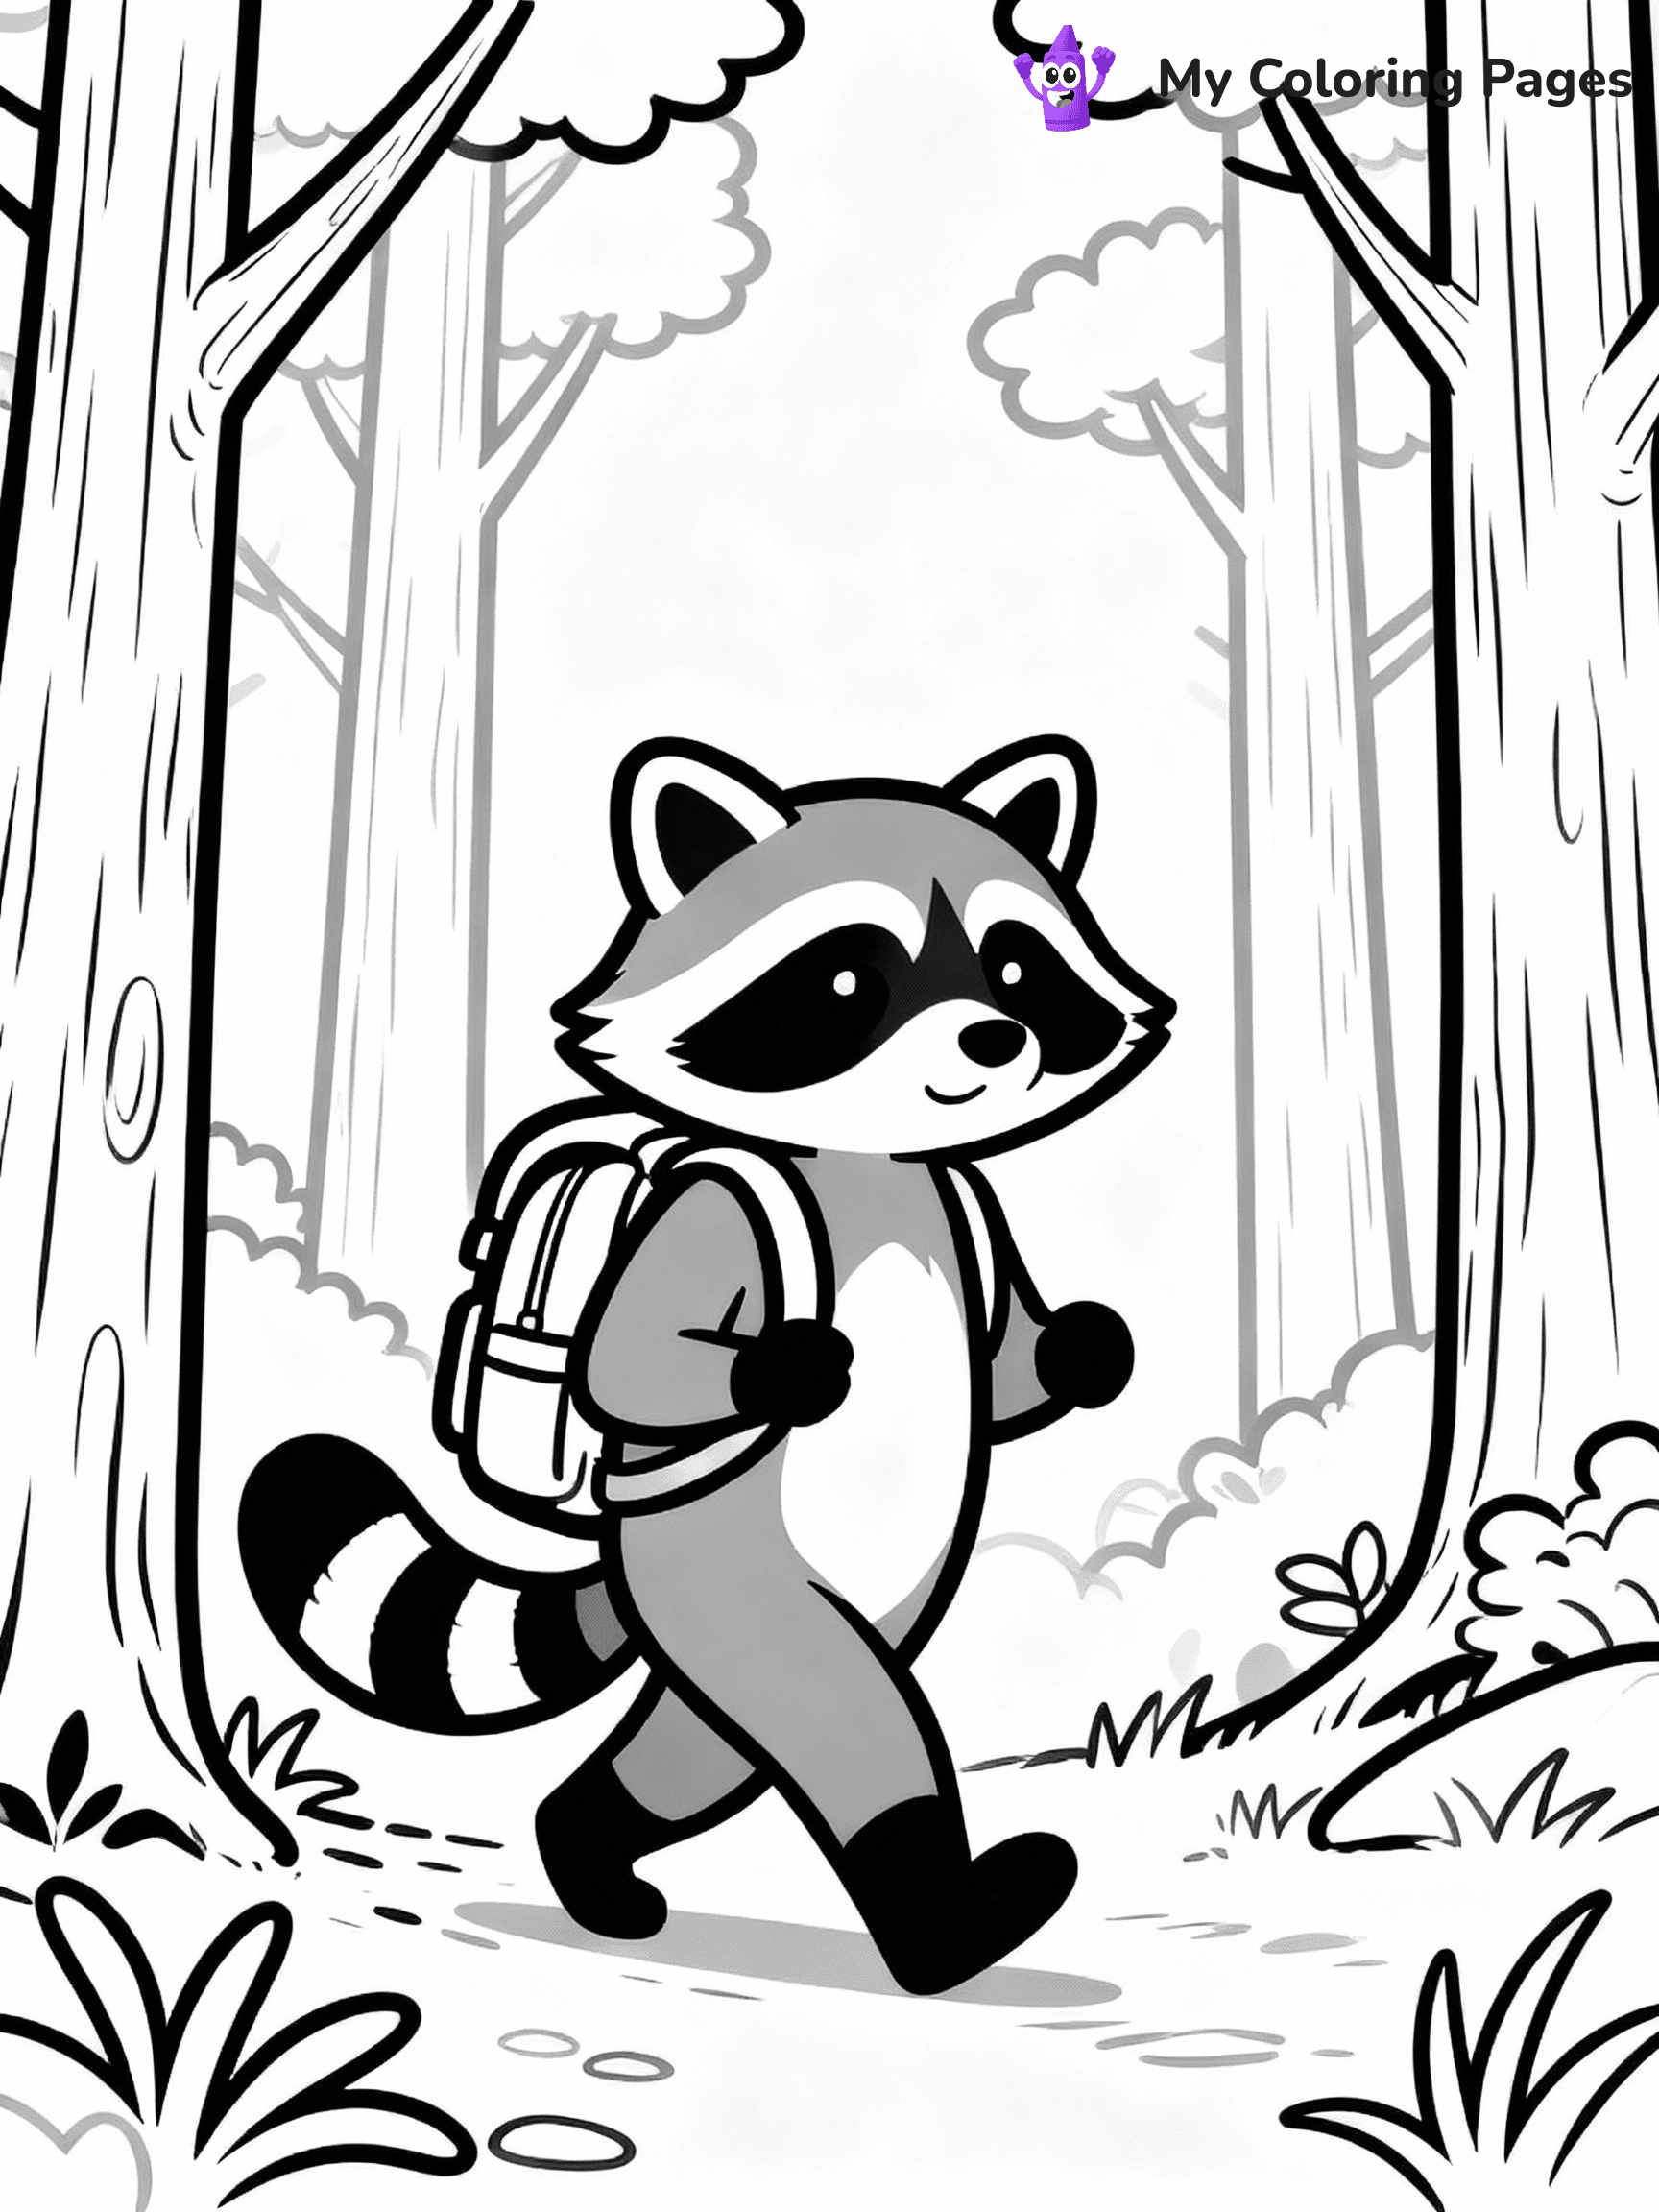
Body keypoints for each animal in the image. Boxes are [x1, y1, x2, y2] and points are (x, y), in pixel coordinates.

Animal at [242, 735, 1173, 1995]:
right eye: (850, 983)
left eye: (1019, 971)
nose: (992, 1040)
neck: (868, 1162)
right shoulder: (721, 1211)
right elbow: (627, 1365)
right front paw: (784, 1370)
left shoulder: (963, 1205)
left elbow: (1013, 1370)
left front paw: (1078, 1348)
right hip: (727, 1564)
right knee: (831, 1706)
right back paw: (940, 1922)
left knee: (707, 1741)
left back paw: (585, 1838)